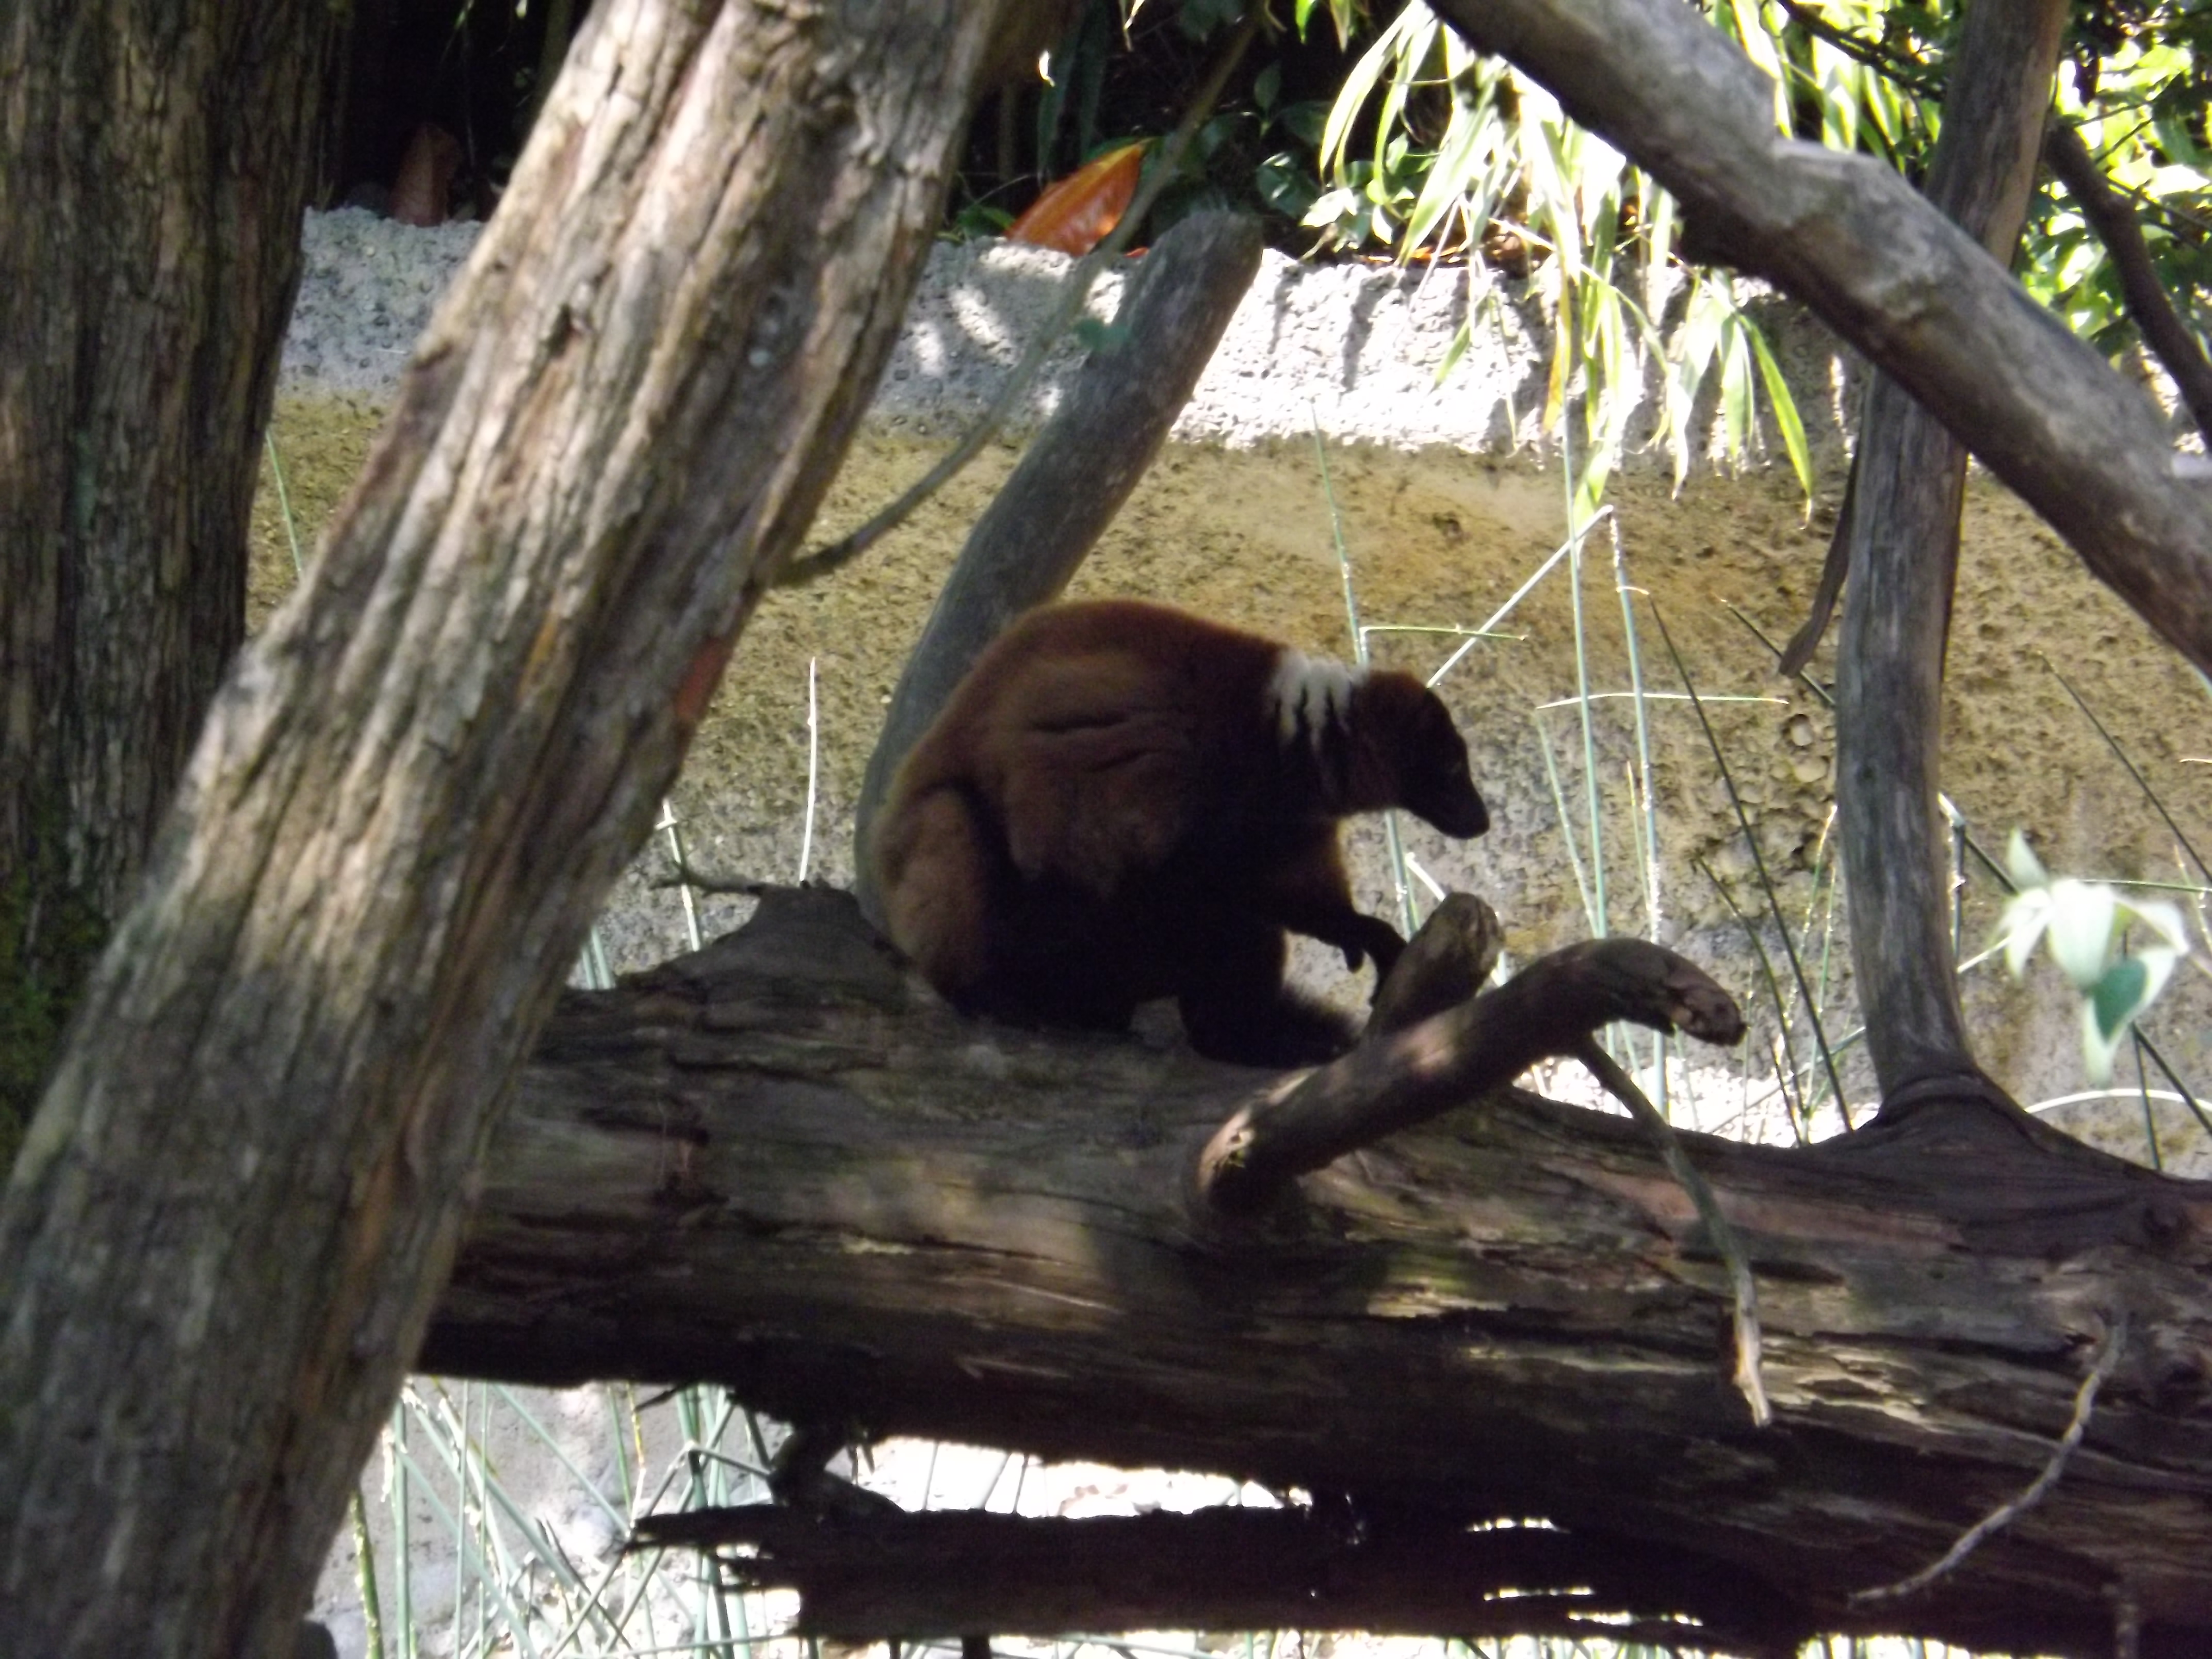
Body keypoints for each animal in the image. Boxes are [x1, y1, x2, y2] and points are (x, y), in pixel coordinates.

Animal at [869, 599, 1488, 1065]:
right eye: (1453, 769)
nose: (1481, 820)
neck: (1275, 737)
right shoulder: (1153, 740)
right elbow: (1059, 837)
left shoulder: (1280, 813)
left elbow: (1272, 884)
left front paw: (1359, 930)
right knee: (953, 818)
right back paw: (995, 991)